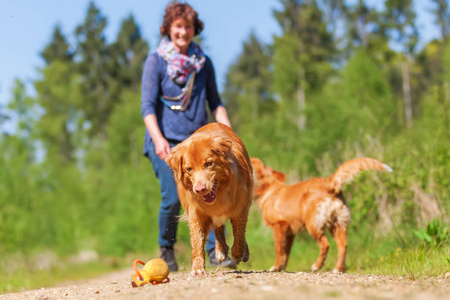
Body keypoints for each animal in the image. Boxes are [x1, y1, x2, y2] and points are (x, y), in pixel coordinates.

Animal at [165, 123, 253, 276]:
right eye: (189, 169)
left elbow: (239, 235)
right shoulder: (196, 213)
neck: (220, 191)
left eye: (209, 163)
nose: (200, 189)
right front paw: (197, 267)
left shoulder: (241, 208)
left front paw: (238, 253)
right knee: (218, 228)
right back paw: (221, 250)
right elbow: (197, 240)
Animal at [251, 158, 392, 274]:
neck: (268, 188)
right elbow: (286, 252)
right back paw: (338, 269)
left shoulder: (279, 226)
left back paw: (317, 266)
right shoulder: (290, 233)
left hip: (313, 225)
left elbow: (279, 249)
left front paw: (275, 267)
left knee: (325, 244)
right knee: (343, 245)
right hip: (338, 224)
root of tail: (328, 183)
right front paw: (282, 268)